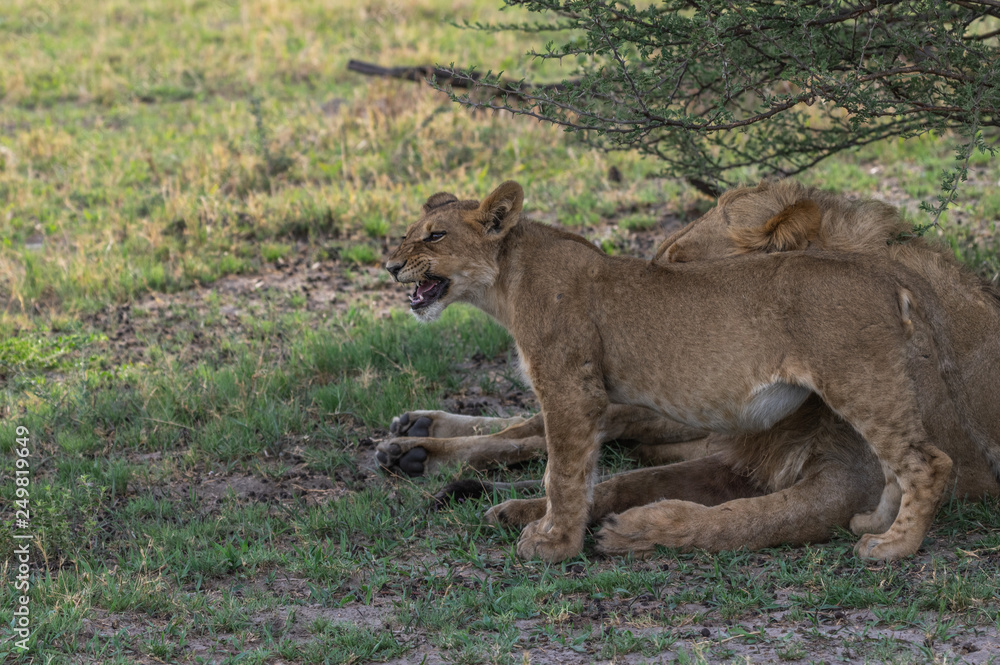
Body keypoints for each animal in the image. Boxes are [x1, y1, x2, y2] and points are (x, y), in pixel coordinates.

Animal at [383, 180, 977, 563]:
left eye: (434, 236)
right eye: (410, 233)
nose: (389, 266)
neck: (506, 281)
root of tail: (884, 275)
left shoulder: (571, 388)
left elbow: (564, 473)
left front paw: (552, 546)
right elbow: (584, 472)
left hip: (860, 380)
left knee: (928, 462)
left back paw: (890, 548)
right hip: (863, 386)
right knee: (896, 463)